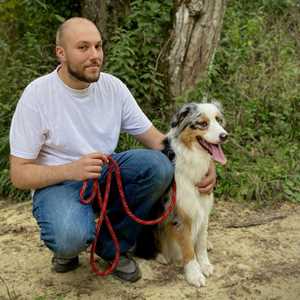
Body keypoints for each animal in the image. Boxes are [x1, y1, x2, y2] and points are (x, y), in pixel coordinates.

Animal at [136, 102, 227, 288]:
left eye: (218, 120)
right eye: (203, 123)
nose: (225, 136)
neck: (193, 158)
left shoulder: (203, 207)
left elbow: (200, 242)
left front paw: (205, 264)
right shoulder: (180, 212)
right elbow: (187, 247)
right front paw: (194, 274)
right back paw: (161, 256)